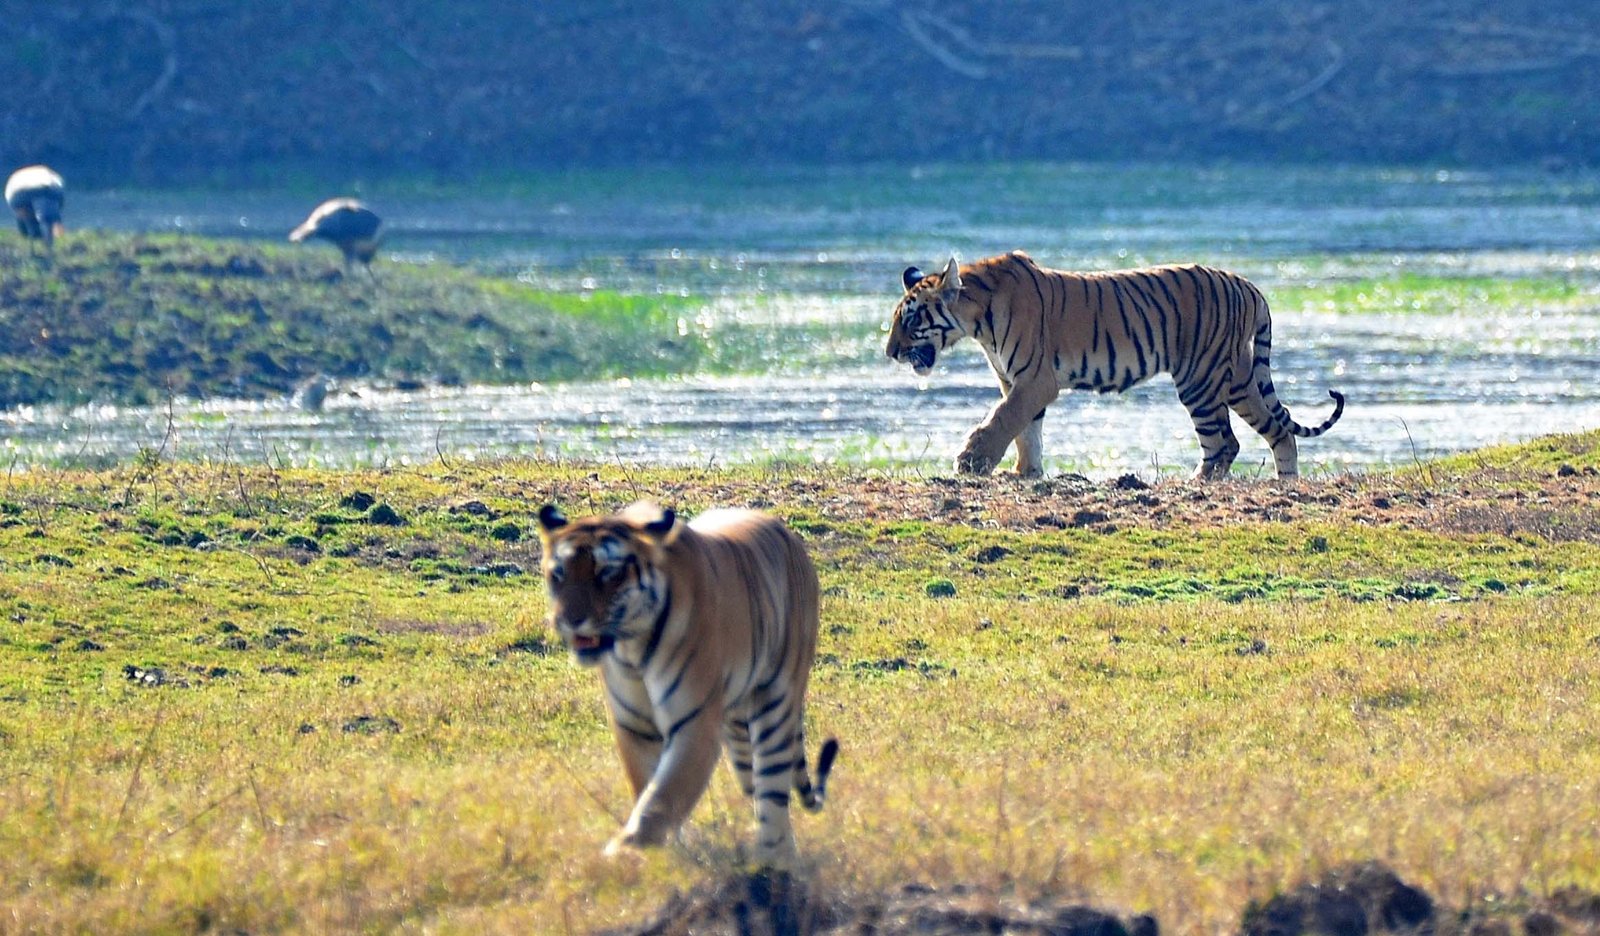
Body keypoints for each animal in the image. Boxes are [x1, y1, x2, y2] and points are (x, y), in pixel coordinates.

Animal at [534, 499, 838, 864]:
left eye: (608, 574)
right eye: (558, 574)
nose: (569, 620)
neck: (632, 648)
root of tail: (787, 534)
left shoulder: (695, 723)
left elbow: (665, 794)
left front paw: (626, 849)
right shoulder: (634, 725)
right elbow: (647, 786)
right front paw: (669, 853)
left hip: (777, 701)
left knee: (773, 789)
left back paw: (774, 860)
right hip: (738, 728)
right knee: (754, 783)